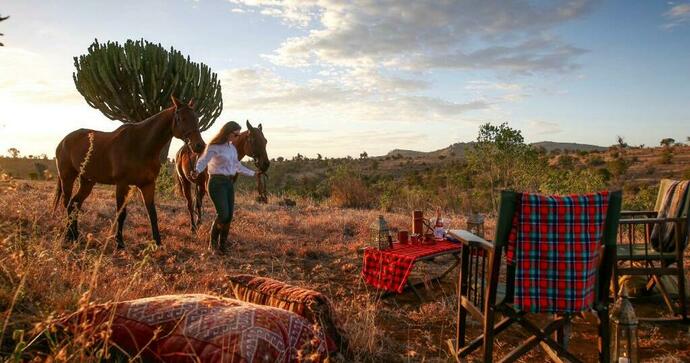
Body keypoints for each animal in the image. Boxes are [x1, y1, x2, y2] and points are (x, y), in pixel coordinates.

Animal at [53, 96, 204, 249]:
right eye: (182, 118)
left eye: (197, 118)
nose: (199, 145)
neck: (141, 145)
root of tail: (63, 141)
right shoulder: (122, 184)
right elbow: (121, 214)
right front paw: (119, 242)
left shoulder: (148, 185)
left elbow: (152, 213)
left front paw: (158, 242)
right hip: (67, 178)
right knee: (68, 203)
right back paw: (68, 235)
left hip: (87, 182)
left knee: (75, 204)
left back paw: (75, 235)